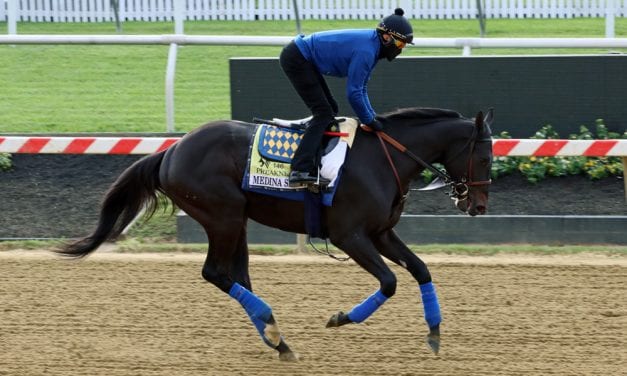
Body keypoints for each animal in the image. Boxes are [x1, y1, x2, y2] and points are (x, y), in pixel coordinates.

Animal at [56, 106, 494, 362]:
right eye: (486, 155)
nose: (477, 206)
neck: (382, 159)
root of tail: (172, 150)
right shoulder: (349, 235)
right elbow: (388, 282)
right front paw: (340, 318)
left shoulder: (382, 233)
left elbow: (421, 270)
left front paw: (435, 333)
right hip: (223, 216)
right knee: (215, 273)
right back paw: (271, 328)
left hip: (237, 221)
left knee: (237, 276)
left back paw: (276, 338)